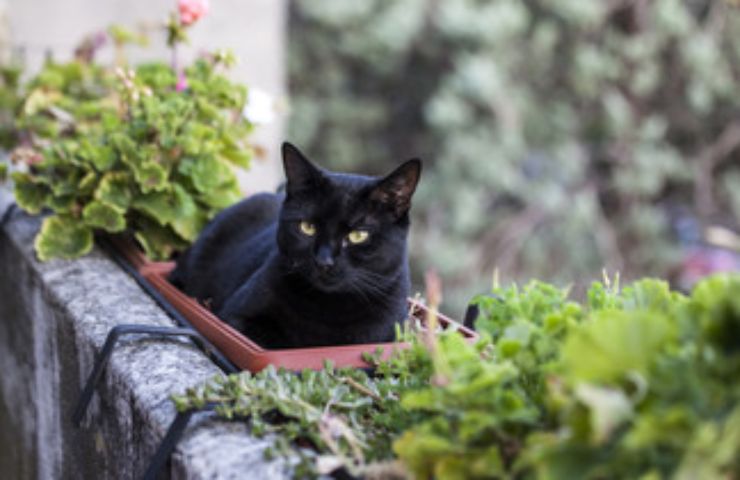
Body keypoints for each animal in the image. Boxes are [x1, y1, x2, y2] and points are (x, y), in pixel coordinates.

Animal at [169, 141, 422, 346]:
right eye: (307, 227)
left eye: (358, 235)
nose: (324, 261)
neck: (328, 309)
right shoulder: (236, 318)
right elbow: (276, 341)